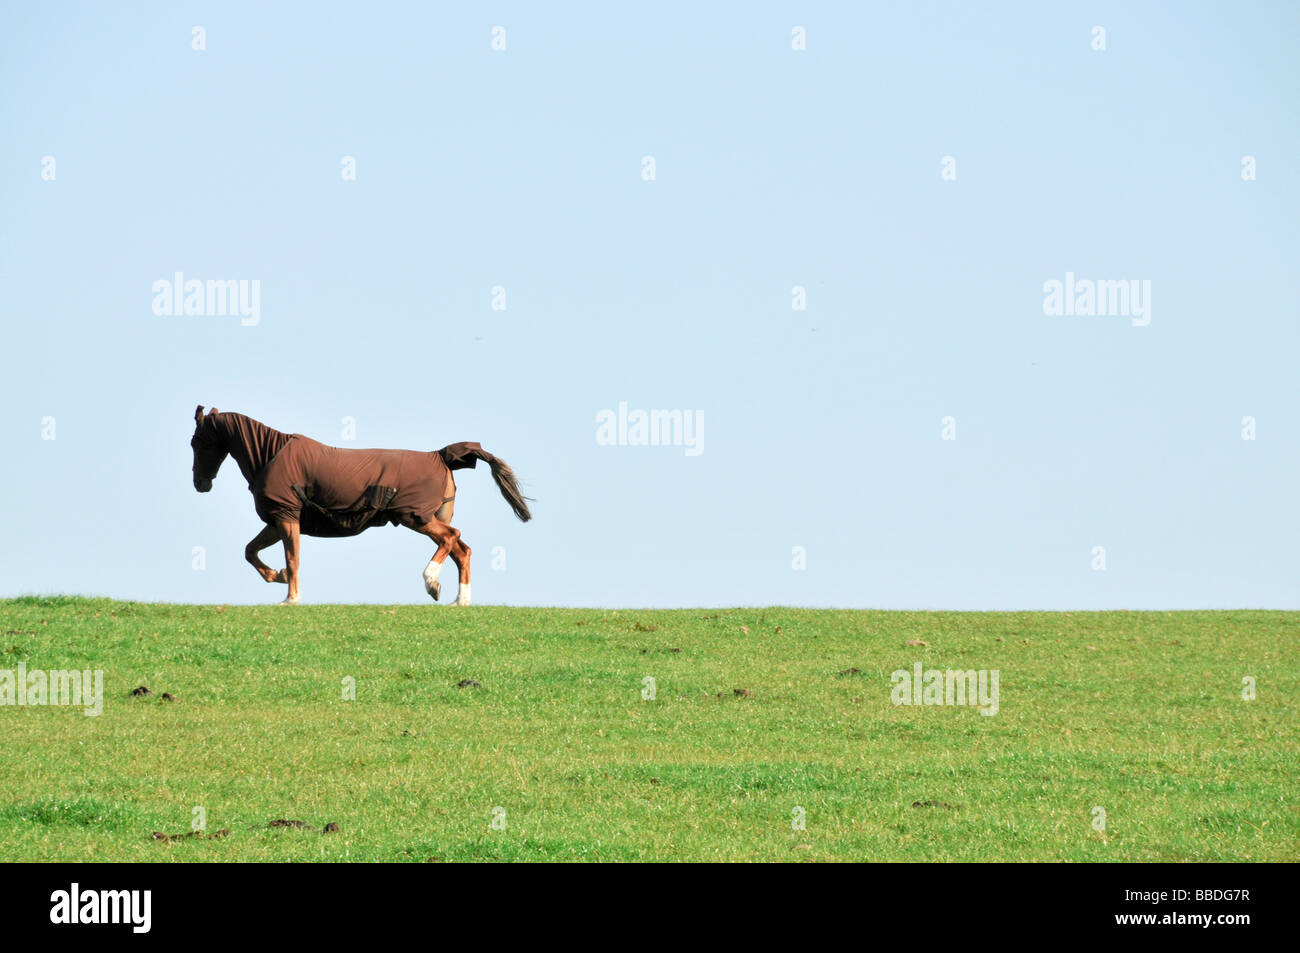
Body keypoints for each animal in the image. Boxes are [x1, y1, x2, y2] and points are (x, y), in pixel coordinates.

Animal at [187, 408, 527, 603]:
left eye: (197, 441)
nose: (200, 483)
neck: (270, 456)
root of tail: (440, 455)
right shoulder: (276, 520)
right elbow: (250, 551)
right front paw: (277, 576)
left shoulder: (286, 516)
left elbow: (293, 558)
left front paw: (290, 597)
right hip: (428, 517)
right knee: (461, 550)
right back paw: (459, 601)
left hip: (415, 516)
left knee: (451, 538)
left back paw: (432, 583)